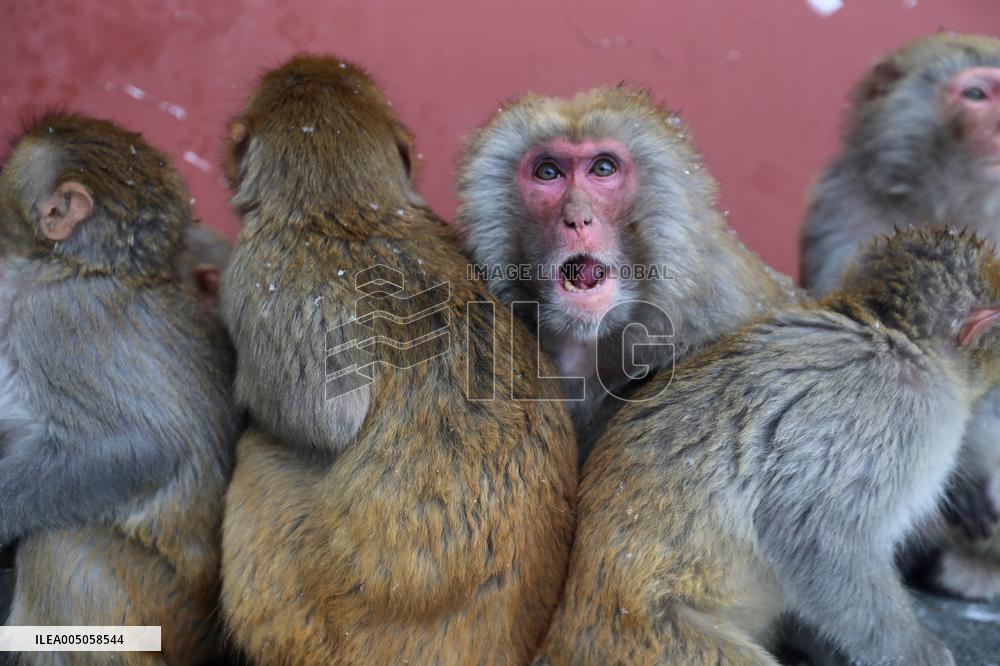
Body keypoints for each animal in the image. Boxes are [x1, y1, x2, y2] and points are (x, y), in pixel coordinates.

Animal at [536, 229, 1000, 666]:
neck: (892, 337)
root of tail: (565, 624)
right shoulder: (888, 409)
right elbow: (816, 537)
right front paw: (917, 654)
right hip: (644, 641)